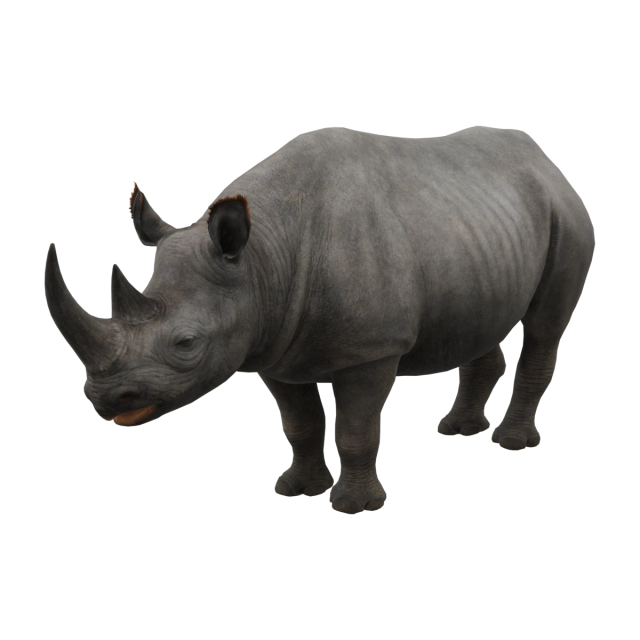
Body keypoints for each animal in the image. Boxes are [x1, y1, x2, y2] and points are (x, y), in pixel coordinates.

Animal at [44, 124, 596, 514]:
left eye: (185, 344)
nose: (105, 400)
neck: (262, 256)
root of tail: (544, 156)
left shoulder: (371, 349)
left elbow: (356, 427)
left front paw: (354, 506)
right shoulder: (271, 340)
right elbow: (302, 424)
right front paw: (298, 490)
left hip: (566, 214)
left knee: (545, 326)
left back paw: (512, 443)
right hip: (480, 226)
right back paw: (458, 431)